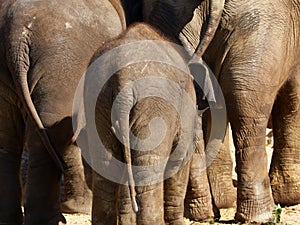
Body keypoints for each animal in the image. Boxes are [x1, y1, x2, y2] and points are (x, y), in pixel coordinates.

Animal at [0, 0, 129, 223]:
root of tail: (16, 37)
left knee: (11, 142)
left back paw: (9, 220)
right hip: (60, 67)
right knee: (51, 136)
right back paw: (49, 220)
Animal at [72, 21, 205, 225]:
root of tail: (123, 76)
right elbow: (178, 161)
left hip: (98, 99)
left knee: (106, 168)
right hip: (154, 106)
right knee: (147, 170)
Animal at [142, 0, 300, 223]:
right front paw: (290, 198)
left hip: (169, 22)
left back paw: (203, 212)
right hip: (264, 25)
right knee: (247, 106)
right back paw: (258, 216)